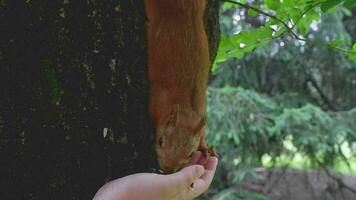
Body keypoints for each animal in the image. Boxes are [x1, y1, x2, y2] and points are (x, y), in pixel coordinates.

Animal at [143, 0, 216, 173]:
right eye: (160, 141)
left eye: (190, 154)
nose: (168, 170)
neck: (185, 109)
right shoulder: (155, 102)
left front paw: (205, 147)